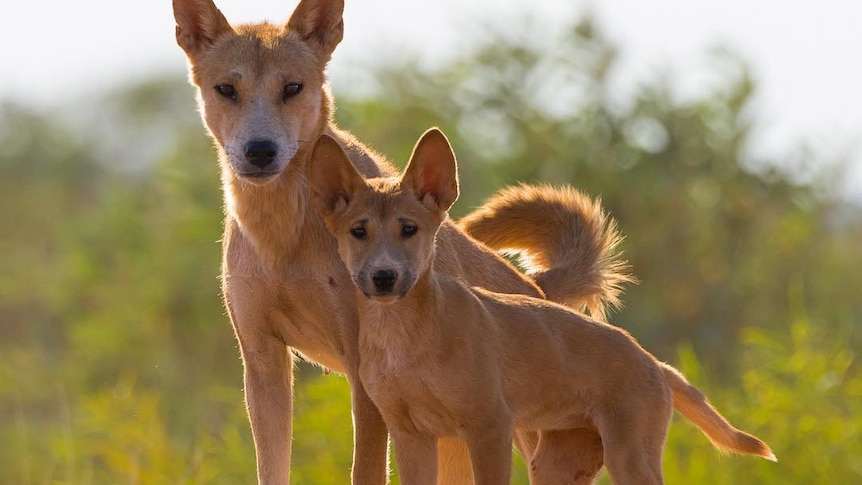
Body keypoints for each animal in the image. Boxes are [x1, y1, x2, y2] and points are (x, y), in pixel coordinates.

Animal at [176, 0, 636, 480]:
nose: (260, 150)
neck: (282, 237)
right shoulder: (263, 361)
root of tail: (536, 288)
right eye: (226, 89)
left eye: (292, 87)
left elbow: (365, 470)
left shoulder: (361, 373)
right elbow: (272, 469)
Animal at [308, 130, 776, 484]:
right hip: (558, 465)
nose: (383, 277)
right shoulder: (410, 436)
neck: (405, 339)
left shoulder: (488, 429)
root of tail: (653, 361)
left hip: (629, 459)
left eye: (409, 229)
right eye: (358, 231)